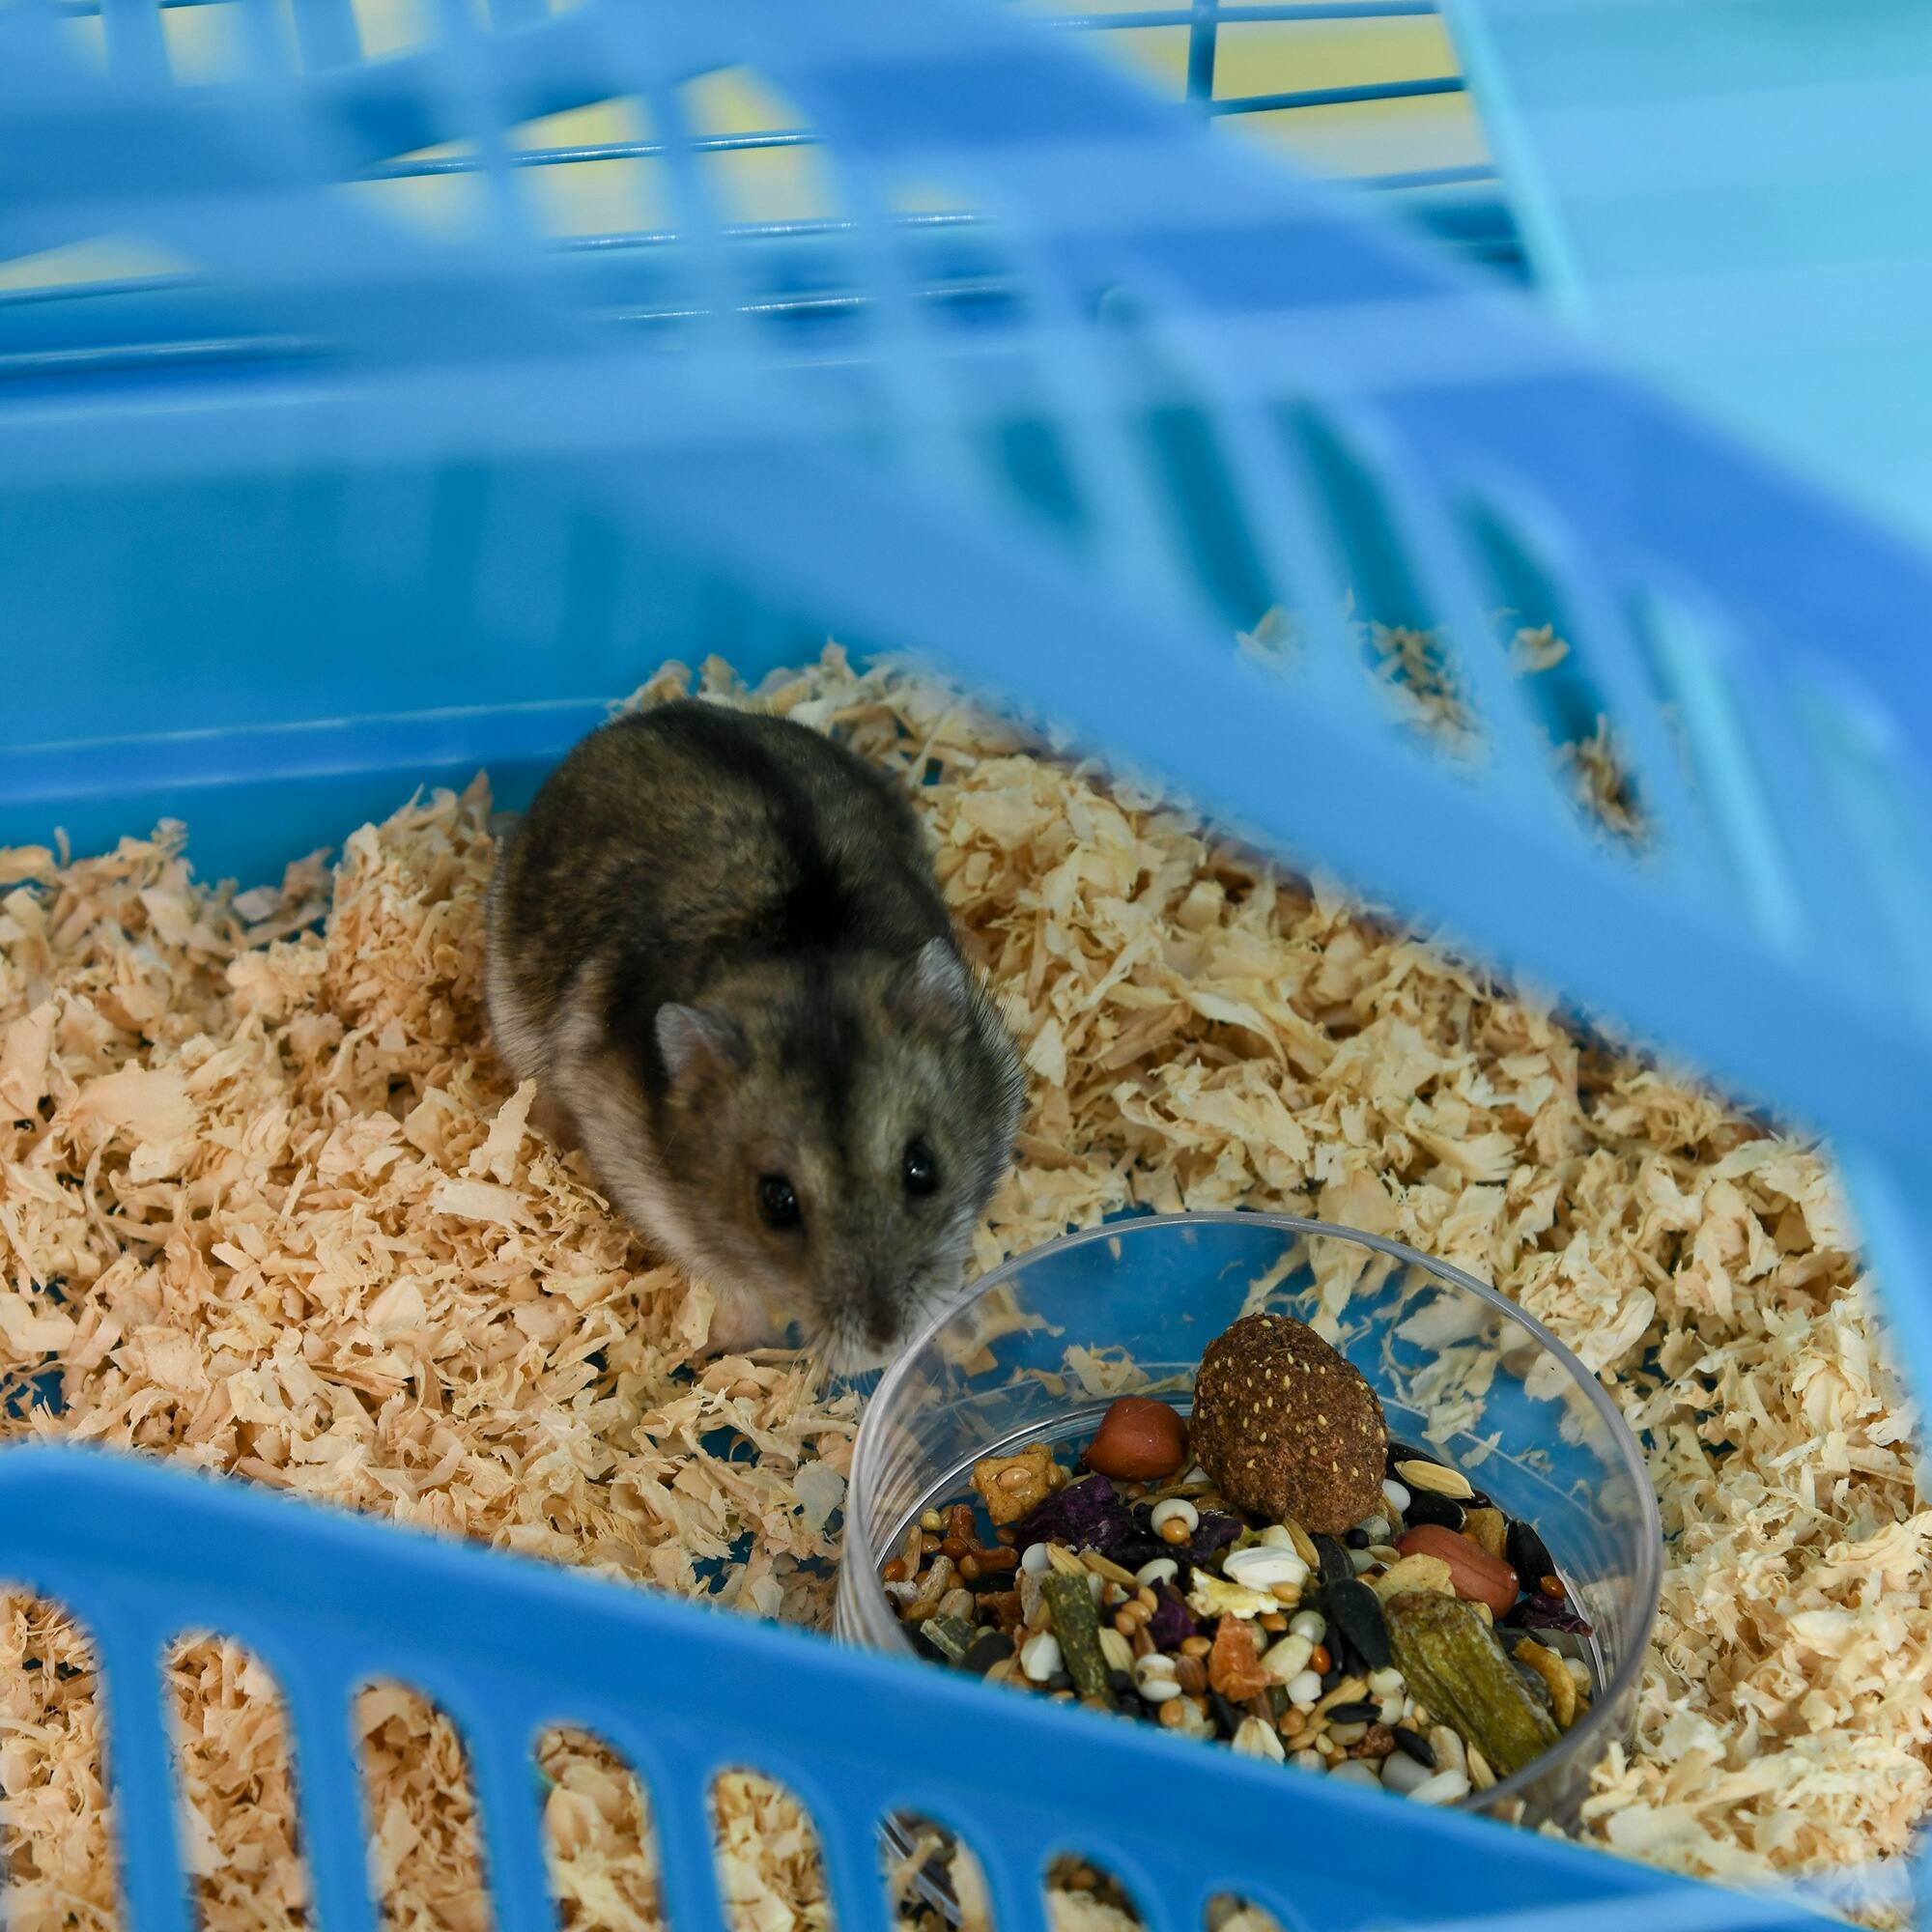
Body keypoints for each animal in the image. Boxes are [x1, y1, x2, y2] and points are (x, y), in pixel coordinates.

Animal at [485, 699, 1027, 1373]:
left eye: (923, 1168)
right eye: (776, 1201)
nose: (886, 1345)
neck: (800, 948)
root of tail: (648, 713)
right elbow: (728, 1282)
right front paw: (732, 1348)